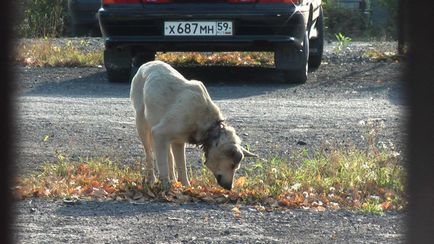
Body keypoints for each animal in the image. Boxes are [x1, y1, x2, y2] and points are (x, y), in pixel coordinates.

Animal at [131, 61, 256, 191]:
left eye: (235, 167)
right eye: (232, 165)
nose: (229, 187)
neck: (211, 128)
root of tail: (147, 64)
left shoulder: (178, 142)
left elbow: (182, 166)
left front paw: (186, 187)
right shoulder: (159, 133)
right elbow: (162, 165)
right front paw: (166, 187)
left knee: (169, 156)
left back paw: (173, 179)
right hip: (142, 125)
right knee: (149, 155)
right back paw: (152, 179)